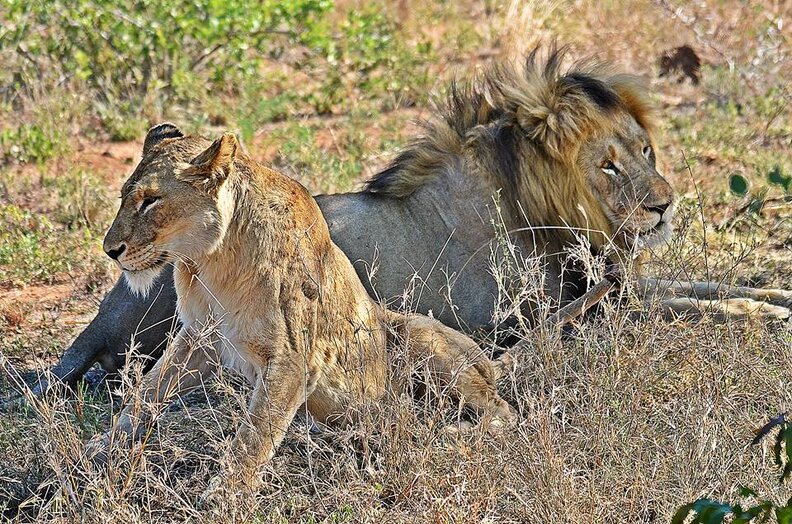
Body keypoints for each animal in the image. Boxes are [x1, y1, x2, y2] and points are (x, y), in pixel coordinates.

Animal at [34, 47, 791, 399]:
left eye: (646, 153)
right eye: (607, 167)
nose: (664, 203)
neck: (543, 210)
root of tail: (104, 309)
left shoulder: (610, 289)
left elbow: (708, 291)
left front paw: (774, 296)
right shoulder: (569, 312)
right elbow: (693, 306)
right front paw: (767, 316)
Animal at [85, 124, 515, 495]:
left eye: (151, 201)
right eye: (124, 197)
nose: (110, 250)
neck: (211, 260)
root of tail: (490, 363)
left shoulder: (292, 356)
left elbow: (255, 434)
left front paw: (225, 495)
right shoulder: (199, 336)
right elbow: (147, 391)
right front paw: (102, 447)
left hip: (419, 334)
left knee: (503, 414)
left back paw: (437, 432)